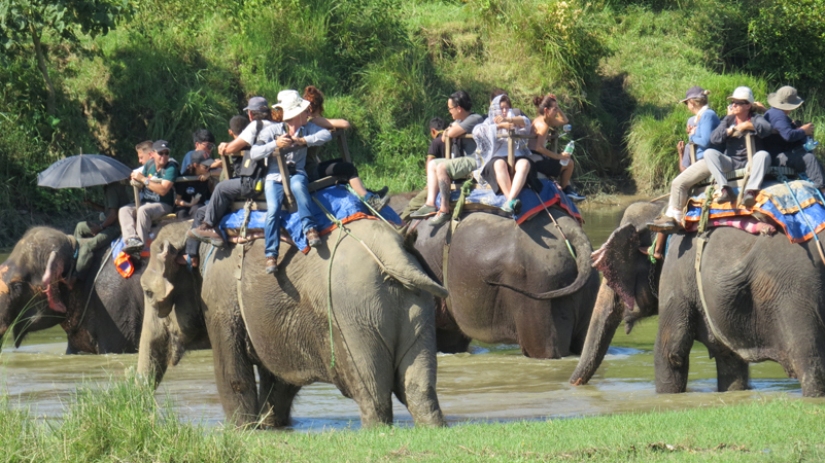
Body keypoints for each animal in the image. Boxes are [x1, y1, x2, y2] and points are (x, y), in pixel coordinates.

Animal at [140, 219, 450, 430]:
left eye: (147, 292)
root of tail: (394, 251)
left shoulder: (219, 298)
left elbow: (234, 375)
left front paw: (243, 429)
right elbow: (279, 381)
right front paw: (269, 426)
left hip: (355, 317)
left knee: (372, 393)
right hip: (417, 308)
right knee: (418, 389)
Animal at [568, 198, 825, 396]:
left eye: (609, 278)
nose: (571, 385)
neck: (659, 211)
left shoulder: (675, 274)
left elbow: (669, 352)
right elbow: (730, 363)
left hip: (795, 296)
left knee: (809, 362)